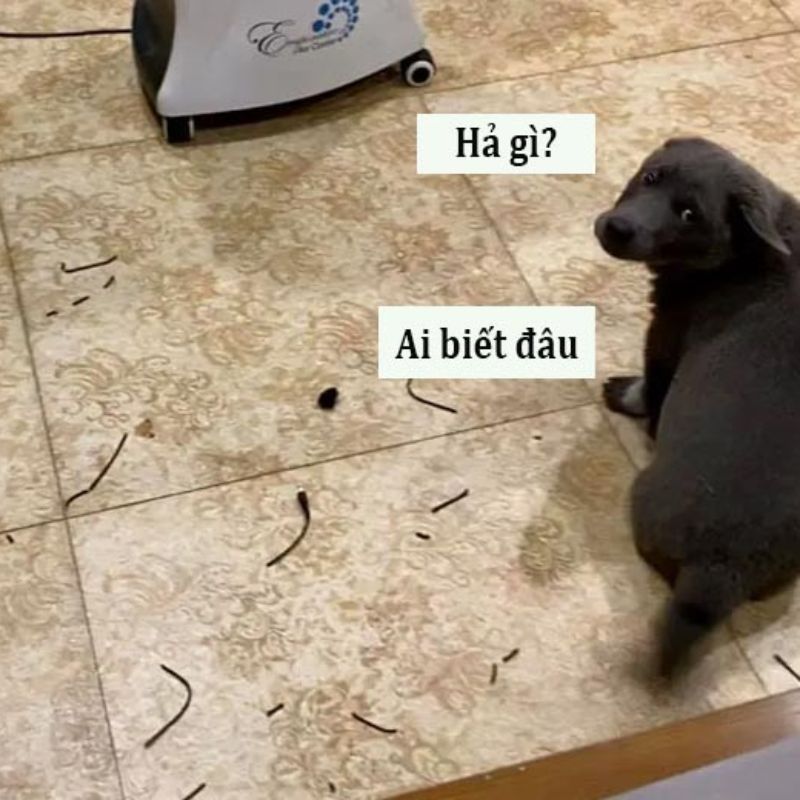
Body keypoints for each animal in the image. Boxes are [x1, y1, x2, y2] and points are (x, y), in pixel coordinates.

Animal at [595, 137, 800, 677]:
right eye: (651, 177)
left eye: (689, 214)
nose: (617, 228)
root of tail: (719, 566)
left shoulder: (665, 332)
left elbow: (653, 387)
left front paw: (625, 395)